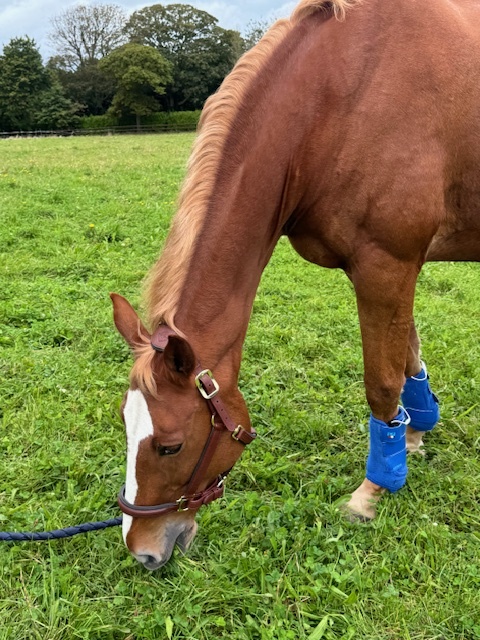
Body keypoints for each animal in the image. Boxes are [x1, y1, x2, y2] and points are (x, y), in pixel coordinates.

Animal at [111, 0, 480, 570]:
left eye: (169, 446)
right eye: (125, 426)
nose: (142, 550)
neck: (342, 97)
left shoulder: (386, 265)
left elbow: (382, 381)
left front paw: (374, 490)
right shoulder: (399, 269)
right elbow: (409, 358)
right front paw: (415, 433)